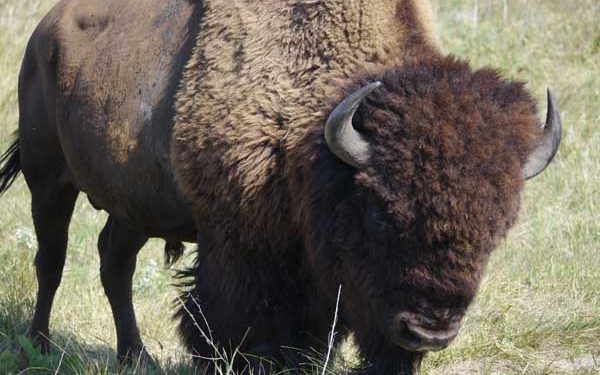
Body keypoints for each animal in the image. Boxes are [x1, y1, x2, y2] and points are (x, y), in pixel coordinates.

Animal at [1, 0, 564, 374]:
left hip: (134, 204)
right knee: (51, 260)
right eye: (379, 212)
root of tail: (44, 32)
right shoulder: (239, 243)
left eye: (497, 227)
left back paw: (135, 356)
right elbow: (231, 319)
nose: (429, 331)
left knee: (114, 261)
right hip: (47, 179)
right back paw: (39, 345)